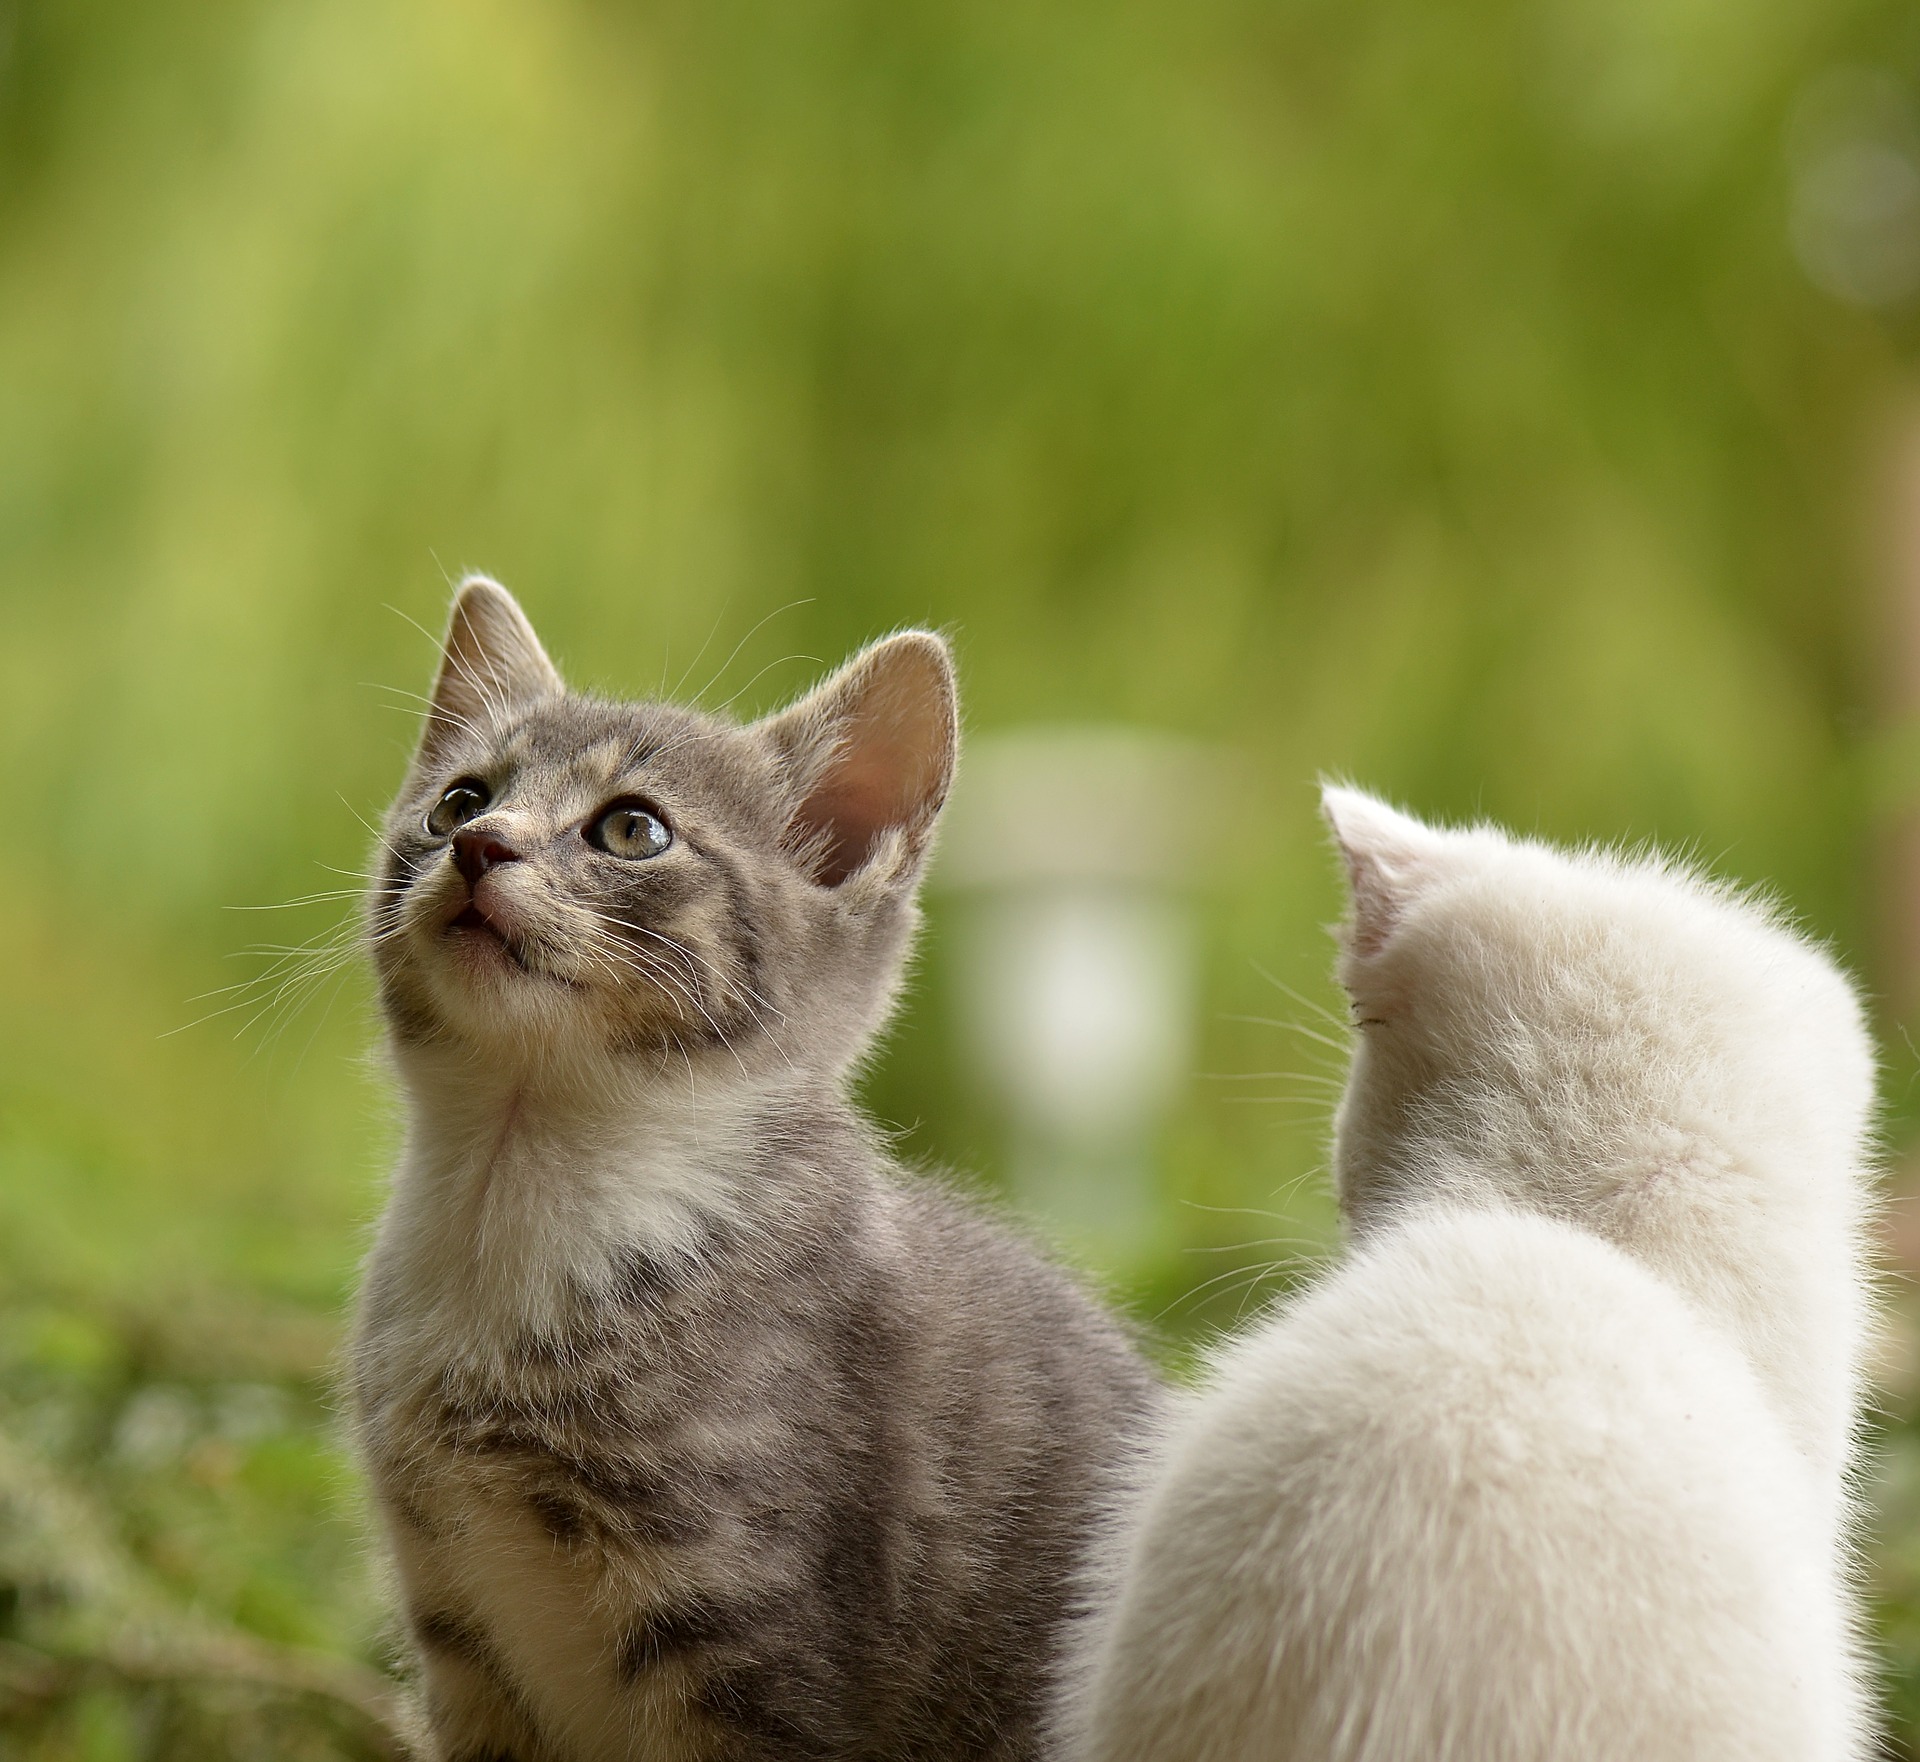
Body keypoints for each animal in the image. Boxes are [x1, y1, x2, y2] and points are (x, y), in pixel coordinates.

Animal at [349, 579, 1152, 1762]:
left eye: (632, 828)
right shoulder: (461, 1635)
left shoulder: (752, 1637)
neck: (522, 1188)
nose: (480, 846)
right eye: (459, 799)